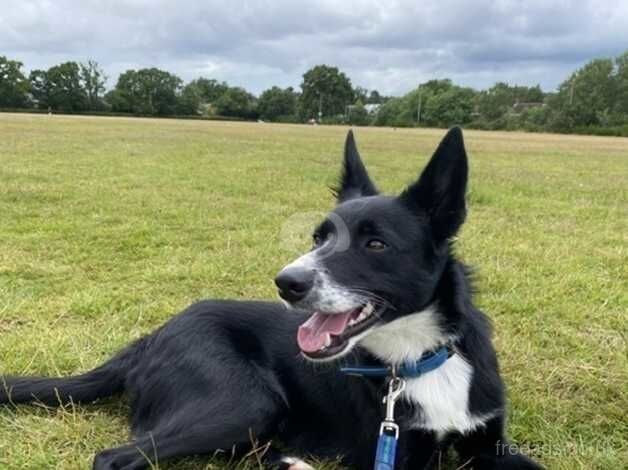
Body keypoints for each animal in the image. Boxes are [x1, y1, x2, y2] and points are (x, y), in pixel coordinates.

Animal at [0, 126, 544, 468]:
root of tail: (151, 338)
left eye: (376, 244)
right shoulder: (394, 453)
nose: (286, 283)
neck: (417, 355)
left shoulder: (487, 445)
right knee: (114, 458)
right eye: (319, 237)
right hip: (246, 400)